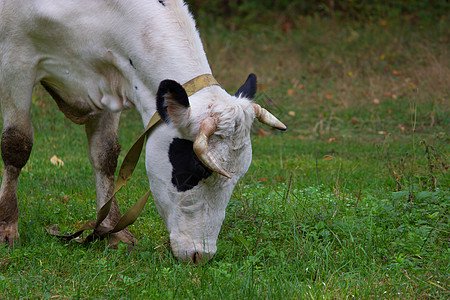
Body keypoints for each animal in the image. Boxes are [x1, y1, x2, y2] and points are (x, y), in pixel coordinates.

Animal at [0, 0, 286, 262]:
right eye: (190, 173)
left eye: (238, 178)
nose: (200, 255)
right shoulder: (16, 60)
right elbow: (17, 144)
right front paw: (7, 228)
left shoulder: (108, 79)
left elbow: (105, 154)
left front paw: (112, 231)